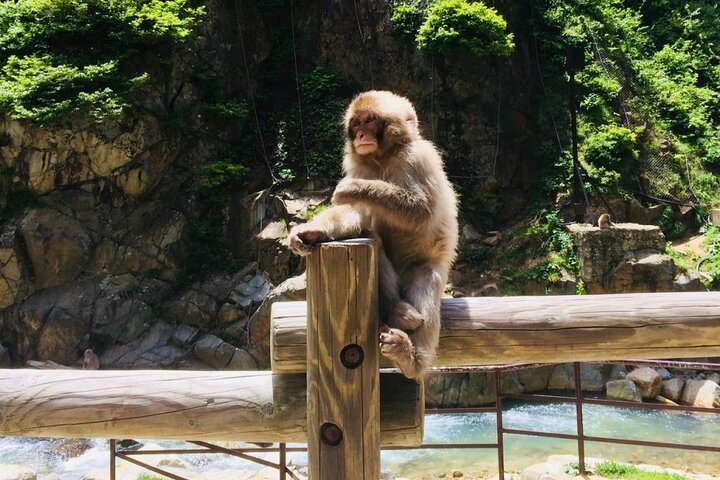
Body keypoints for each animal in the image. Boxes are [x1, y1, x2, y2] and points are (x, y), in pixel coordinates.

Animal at [288, 90, 458, 379]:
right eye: (356, 123)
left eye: (370, 120)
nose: (359, 135)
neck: (383, 157)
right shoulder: (360, 166)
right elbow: (356, 214)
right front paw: (312, 231)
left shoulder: (418, 158)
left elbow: (421, 210)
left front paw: (355, 188)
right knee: (374, 242)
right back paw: (397, 311)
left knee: (426, 274)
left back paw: (411, 359)